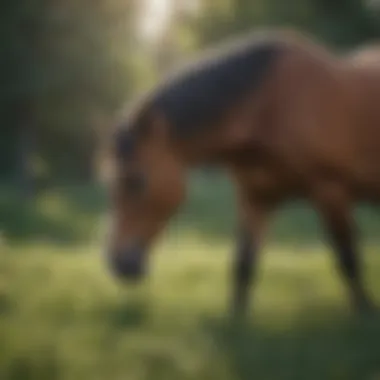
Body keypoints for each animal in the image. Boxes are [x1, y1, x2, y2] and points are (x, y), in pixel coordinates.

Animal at [105, 28, 380, 316]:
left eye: (136, 181)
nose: (118, 264)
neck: (273, 108)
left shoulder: (331, 192)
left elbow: (348, 258)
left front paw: (366, 312)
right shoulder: (255, 199)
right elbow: (243, 265)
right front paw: (236, 318)